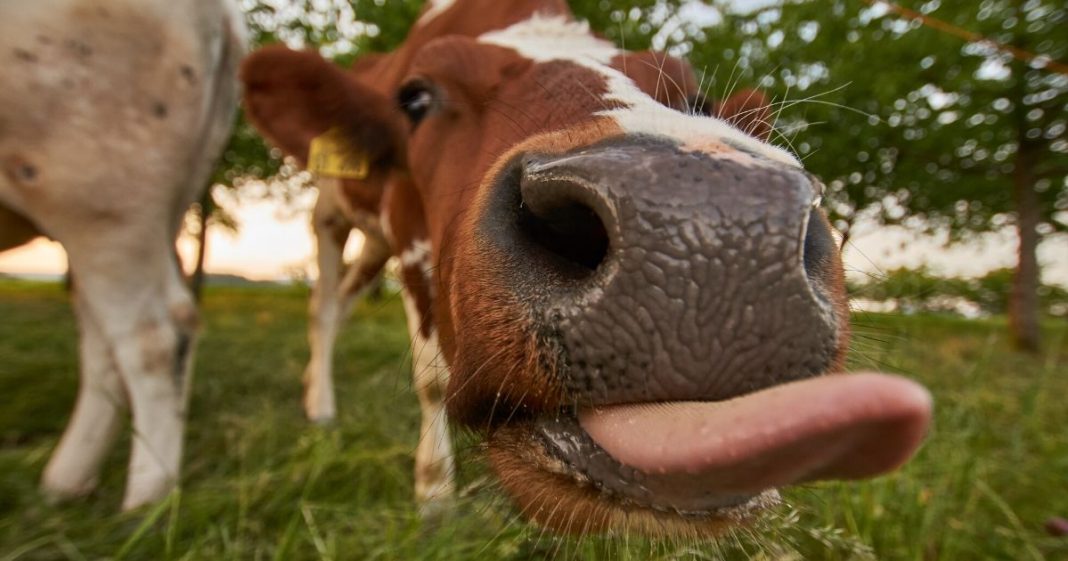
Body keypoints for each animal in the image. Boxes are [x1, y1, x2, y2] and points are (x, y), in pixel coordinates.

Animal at [1, 0, 245, 506]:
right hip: (153, 206)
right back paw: (66, 485)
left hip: (101, 188)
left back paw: (145, 501)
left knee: (152, 336)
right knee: (106, 345)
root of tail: (226, 16)